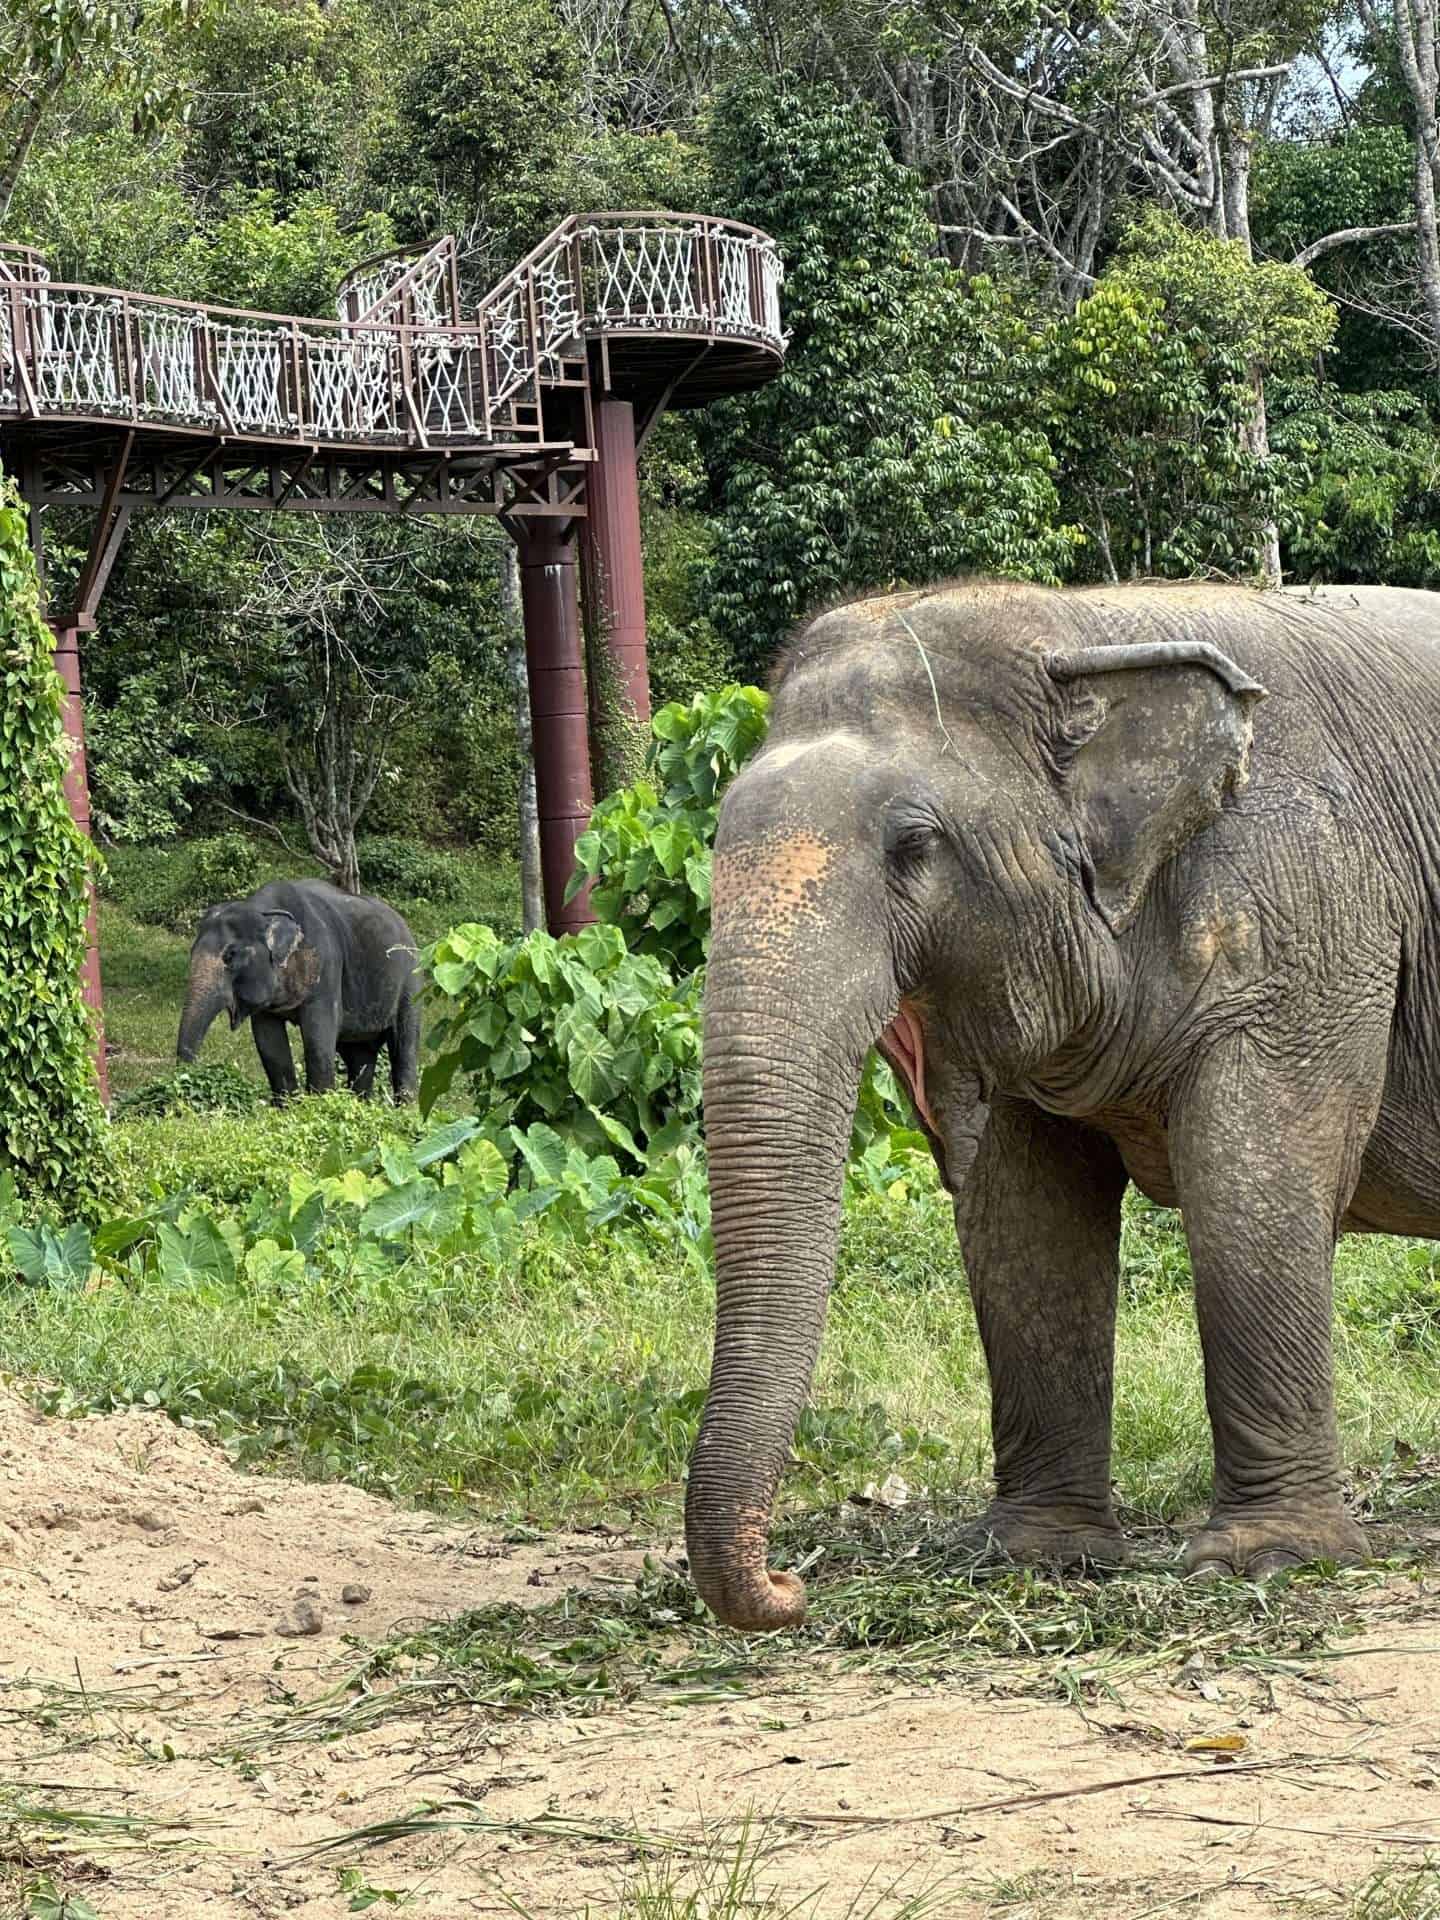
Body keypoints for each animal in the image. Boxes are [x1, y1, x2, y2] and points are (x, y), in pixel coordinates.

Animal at [177, 879, 420, 1103]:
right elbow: (270, 1045)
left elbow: (318, 1039)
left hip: (411, 981)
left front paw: (319, 1105)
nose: (187, 1075)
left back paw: (404, 1109)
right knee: (359, 1054)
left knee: (404, 1046)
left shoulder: (326, 966)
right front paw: (287, 1108)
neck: (264, 910)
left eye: (230, 956)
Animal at [686, 576, 1440, 1631]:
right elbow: (1023, 1218)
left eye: (914, 845)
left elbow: (1254, 1186)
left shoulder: (1311, 912)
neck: (1084, 627)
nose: (792, 1584)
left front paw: (1266, 1561)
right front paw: (1034, 1558)